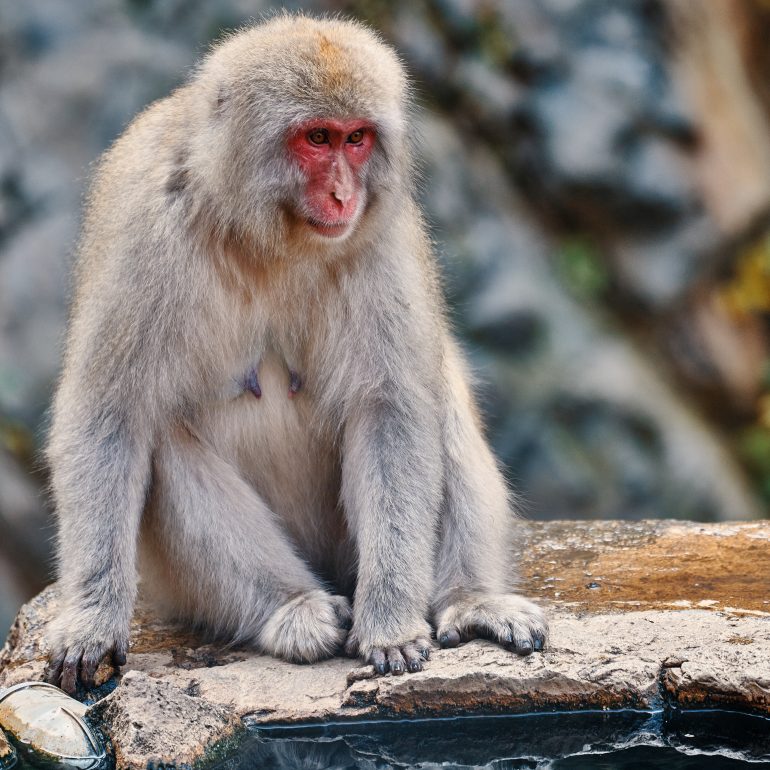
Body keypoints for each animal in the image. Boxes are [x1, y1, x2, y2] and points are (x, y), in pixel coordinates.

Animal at [44, 14, 547, 694]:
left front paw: (391, 621)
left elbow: (390, 411)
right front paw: (93, 620)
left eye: (356, 139)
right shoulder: (143, 224)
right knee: (160, 436)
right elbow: (109, 417)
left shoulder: (382, 235)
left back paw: (469, 600)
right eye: (317, 138)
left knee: (436, 397)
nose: (342, 194)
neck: (267, 232)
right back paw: (293, 609)